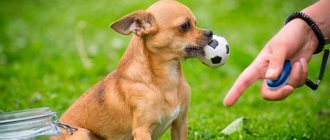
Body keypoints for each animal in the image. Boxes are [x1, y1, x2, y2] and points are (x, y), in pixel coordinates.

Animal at [60, 0, 211, 139]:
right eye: (185, 26)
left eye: (195, 22)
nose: (210, 32)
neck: (167, 78)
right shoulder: (142, 130)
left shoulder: (180, 123)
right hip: (81, 133)